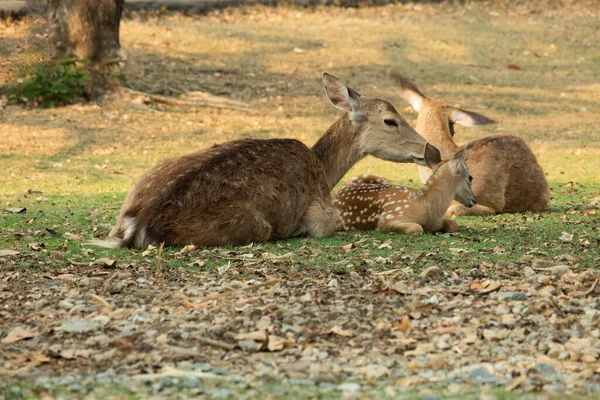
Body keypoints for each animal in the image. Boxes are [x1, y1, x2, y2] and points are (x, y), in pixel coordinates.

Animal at [92, 72, 440, 247]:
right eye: (390, 121)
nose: (433, 151)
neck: (324, 172)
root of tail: (138, 222)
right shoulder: (323, 214)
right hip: (253, 224)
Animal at [332, 148, 474, 233]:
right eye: (470, 177)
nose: (474, 200)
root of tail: (335, 195)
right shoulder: (389, 217)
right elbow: (416, 228)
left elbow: (454, 224)